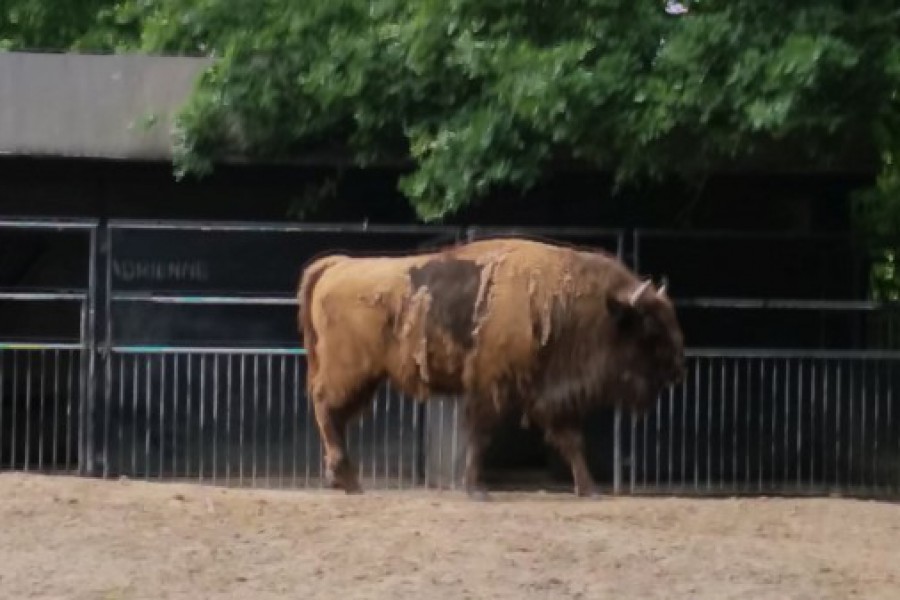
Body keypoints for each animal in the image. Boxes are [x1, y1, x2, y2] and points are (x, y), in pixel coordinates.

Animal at [296, 237, 684, 500]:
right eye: (650, 327)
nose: (678, 367)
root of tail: (337, 266)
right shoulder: (491, 386)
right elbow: (480, 436)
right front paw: (476, 489)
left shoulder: (548, 395)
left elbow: (571, 440)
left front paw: (589, 490)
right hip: (351, 372)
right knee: (326, 408)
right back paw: (347, 478)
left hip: (364, 378)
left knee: (335, 416)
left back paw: (346, 481)